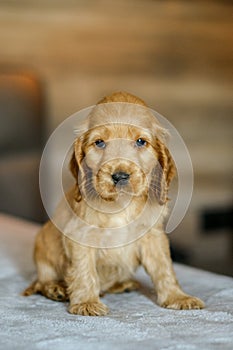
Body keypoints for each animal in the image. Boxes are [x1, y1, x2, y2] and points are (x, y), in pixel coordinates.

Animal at [23, 91, 204, 316]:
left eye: (140, 141)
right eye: (99, 142)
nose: (120, 176)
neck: (121, 205)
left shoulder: (152, 236)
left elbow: (164, 267)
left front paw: (177, 297)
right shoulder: (80, 235)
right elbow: (84, 269)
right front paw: (86, 303)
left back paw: (123, 284)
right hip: (42, 246)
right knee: (40, 281)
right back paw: (55, 288)